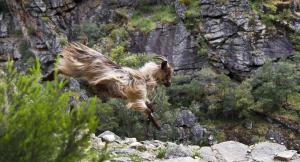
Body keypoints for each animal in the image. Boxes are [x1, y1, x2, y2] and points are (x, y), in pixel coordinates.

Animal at [43, 42, 172, 129]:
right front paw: (158, 126)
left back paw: (46, 78)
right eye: (168, 72)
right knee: (60, 69)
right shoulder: (137, 96)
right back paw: (45, 78)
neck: (145, 78)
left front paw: (155, 123)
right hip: (78, 68)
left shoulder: (141, 97)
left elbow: (150, 108)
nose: (169, 84)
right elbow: (147, 109)